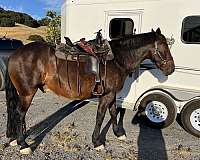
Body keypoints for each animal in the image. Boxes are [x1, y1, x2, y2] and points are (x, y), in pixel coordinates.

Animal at [4, 28, 173, 154]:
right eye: (164, 46)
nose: (171, 69)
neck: (117, 59)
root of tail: (14, 54)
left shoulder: (112, 94)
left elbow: (113, 112)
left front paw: (118, 134)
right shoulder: (107, 95)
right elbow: (100, 116)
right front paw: (97, 142)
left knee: (16, 113)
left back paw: (15, 139)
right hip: (27, 93)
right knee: (19, 114)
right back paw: (23, 145)